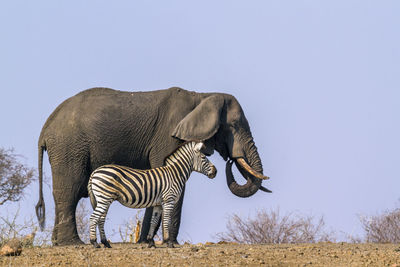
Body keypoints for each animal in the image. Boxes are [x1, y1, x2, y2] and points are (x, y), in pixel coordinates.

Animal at [87, 142, 217, 249]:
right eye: (204, 158)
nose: (215, 172)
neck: (175, 174)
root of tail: (95, 172)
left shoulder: (159, 204)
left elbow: (153, 222)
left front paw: (151, 242)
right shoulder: (169, 200)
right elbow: (166, 221)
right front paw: (169, 243)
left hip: (104, 199)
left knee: (101, 219)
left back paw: (105, 243)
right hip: (104, 198)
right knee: (94, 218)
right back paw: (94, 243)